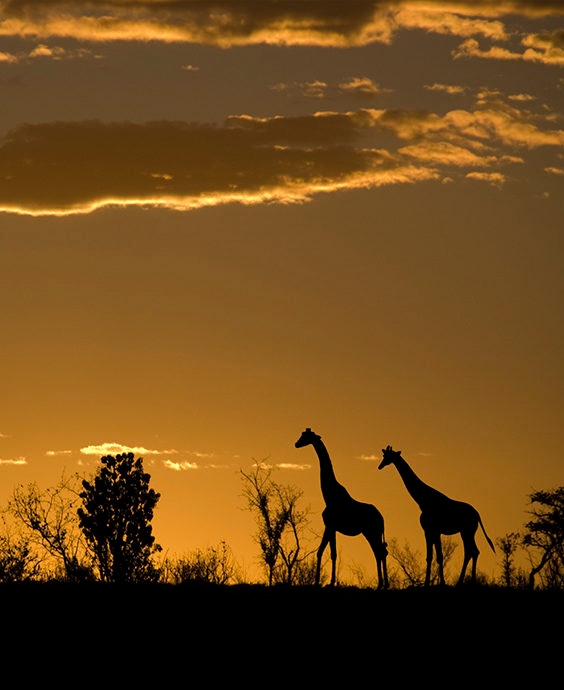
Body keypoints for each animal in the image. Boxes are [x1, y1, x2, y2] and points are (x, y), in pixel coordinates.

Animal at [295, 428, 389, 589]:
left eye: (305, 436)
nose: (296, 444)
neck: (329, 495)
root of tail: (381, 518)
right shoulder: (331, 527)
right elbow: (329, 552)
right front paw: (327, 582)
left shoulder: (330, 525)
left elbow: (324, 552)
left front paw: (322, 582)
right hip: (373, 532)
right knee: (381, 551)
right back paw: (384, 584)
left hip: (371, 532)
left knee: (379, 552)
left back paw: (381, 584)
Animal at [379, 445, 495, 586]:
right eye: (384, 455)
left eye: (388, 456)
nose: (380, 466)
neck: (422, 500)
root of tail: (477, 515)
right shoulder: (429, 531)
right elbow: (430, 557)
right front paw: (428, 583)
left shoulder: (434, 530)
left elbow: (439, 556)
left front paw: (441, 583)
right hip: (466, 532)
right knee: (472, 551)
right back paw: (464, 581)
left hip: (467, 531)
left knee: (472, 551)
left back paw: (468, 581)